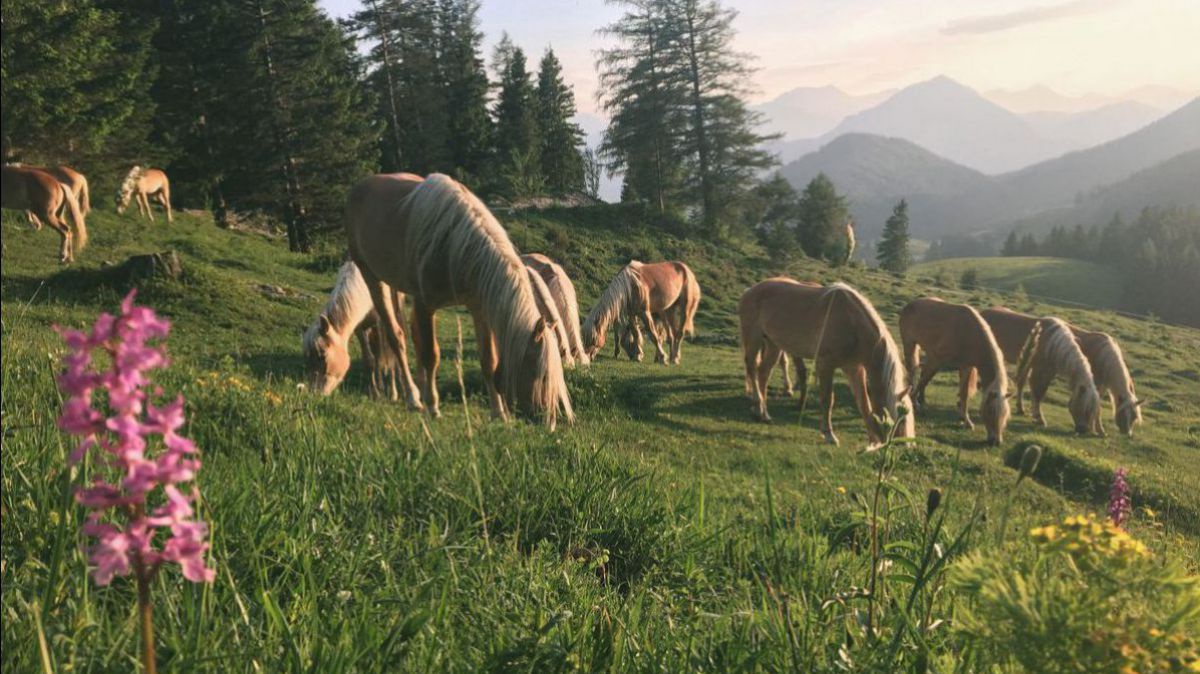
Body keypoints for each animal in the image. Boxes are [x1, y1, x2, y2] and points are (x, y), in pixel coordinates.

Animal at [345, 170, 573, 426]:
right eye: (542, 375)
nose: (549, 422)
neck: (456, 246)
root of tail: (359, 187)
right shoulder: (426, 305)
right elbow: (431, 355)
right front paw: (433, 407)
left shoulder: (478, 309)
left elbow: (489, 360)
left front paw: (499, 412)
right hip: (372, 277)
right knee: (396, 337)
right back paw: (413, 397)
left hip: (398, 287)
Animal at [734, 278, 912, 446]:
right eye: (898, 418)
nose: (900, 443)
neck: (851, 323)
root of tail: (750, 290)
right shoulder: (826, 365)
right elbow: (827, 399)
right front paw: (829, 435)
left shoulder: (854, 368)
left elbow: (863, 402)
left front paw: (872, 440)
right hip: (754, 338)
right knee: (752, 369)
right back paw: (758, 406)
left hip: (773, 345)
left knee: (763, 373)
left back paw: (762, 413)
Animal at [902, 296, 1012, 443]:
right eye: (990, 411)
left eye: (1005, 415)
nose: (996, 442)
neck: (969, 334)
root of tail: (911, 304)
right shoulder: (936, 361)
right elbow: (922, 382)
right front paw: (914, 404)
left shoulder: (966, 367)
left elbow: (964, 394)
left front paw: (966, 421)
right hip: (910, 345)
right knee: (913, 372)